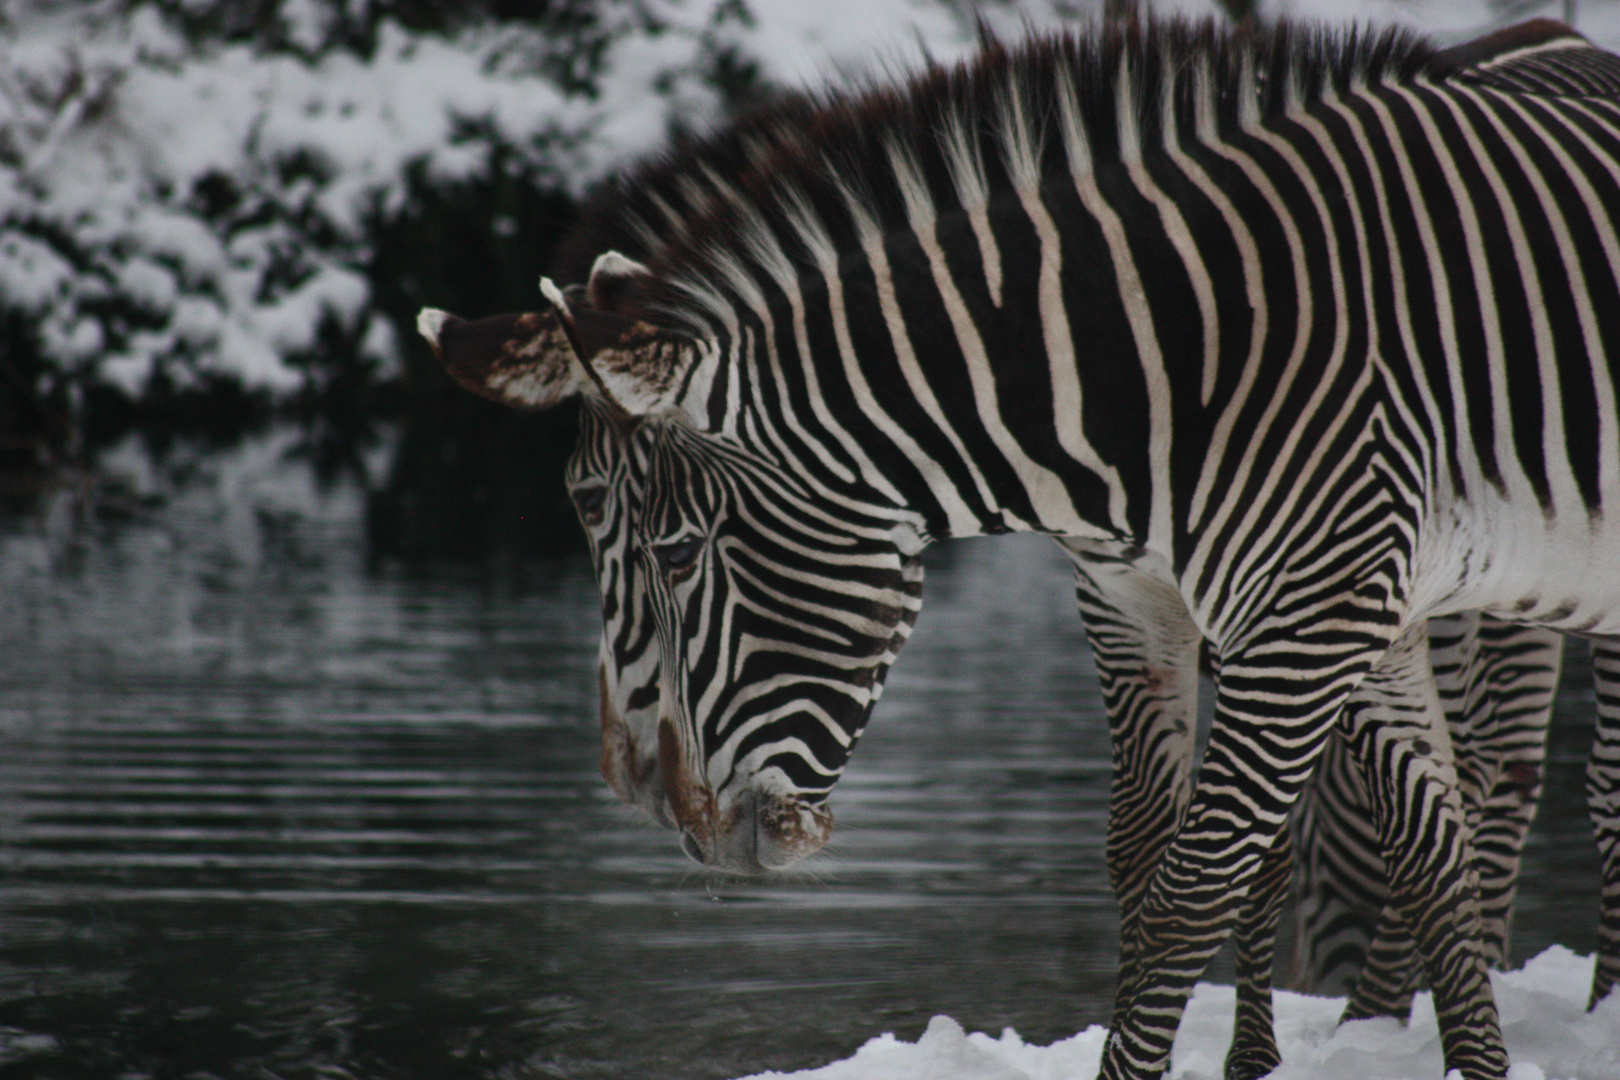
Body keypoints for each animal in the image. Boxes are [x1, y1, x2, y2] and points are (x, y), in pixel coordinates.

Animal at [414, 19, 1620, 1080]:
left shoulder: (1310, 622)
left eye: (669, 555)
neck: (1166, 360)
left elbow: (1197, 883)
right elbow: (1378, 852)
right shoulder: (1183, 605)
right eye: (589, 516)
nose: (678, 819)